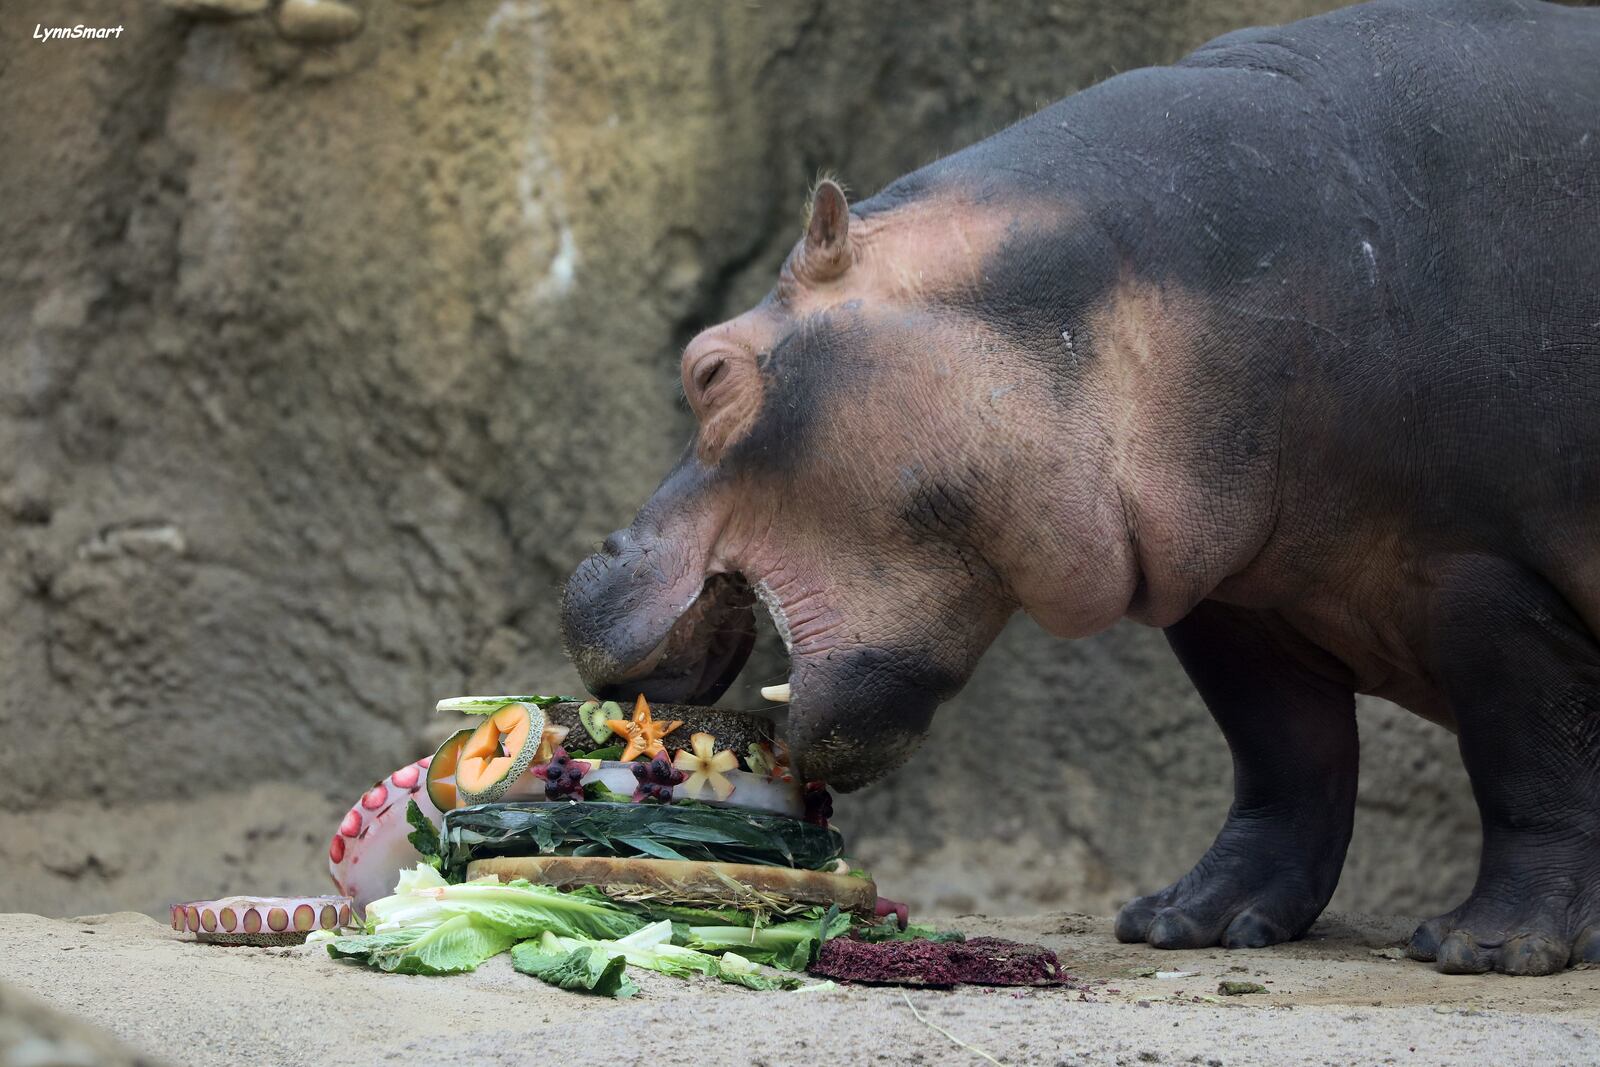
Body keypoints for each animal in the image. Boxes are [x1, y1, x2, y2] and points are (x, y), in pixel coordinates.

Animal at [560, 0, 1600, 979]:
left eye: (708, 369)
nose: (587, 569)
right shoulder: (1234, 593)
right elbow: (1282, 759)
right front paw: (1183, 921)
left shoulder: (1480, 575)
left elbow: (1528, 762)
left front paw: (1490, 948)